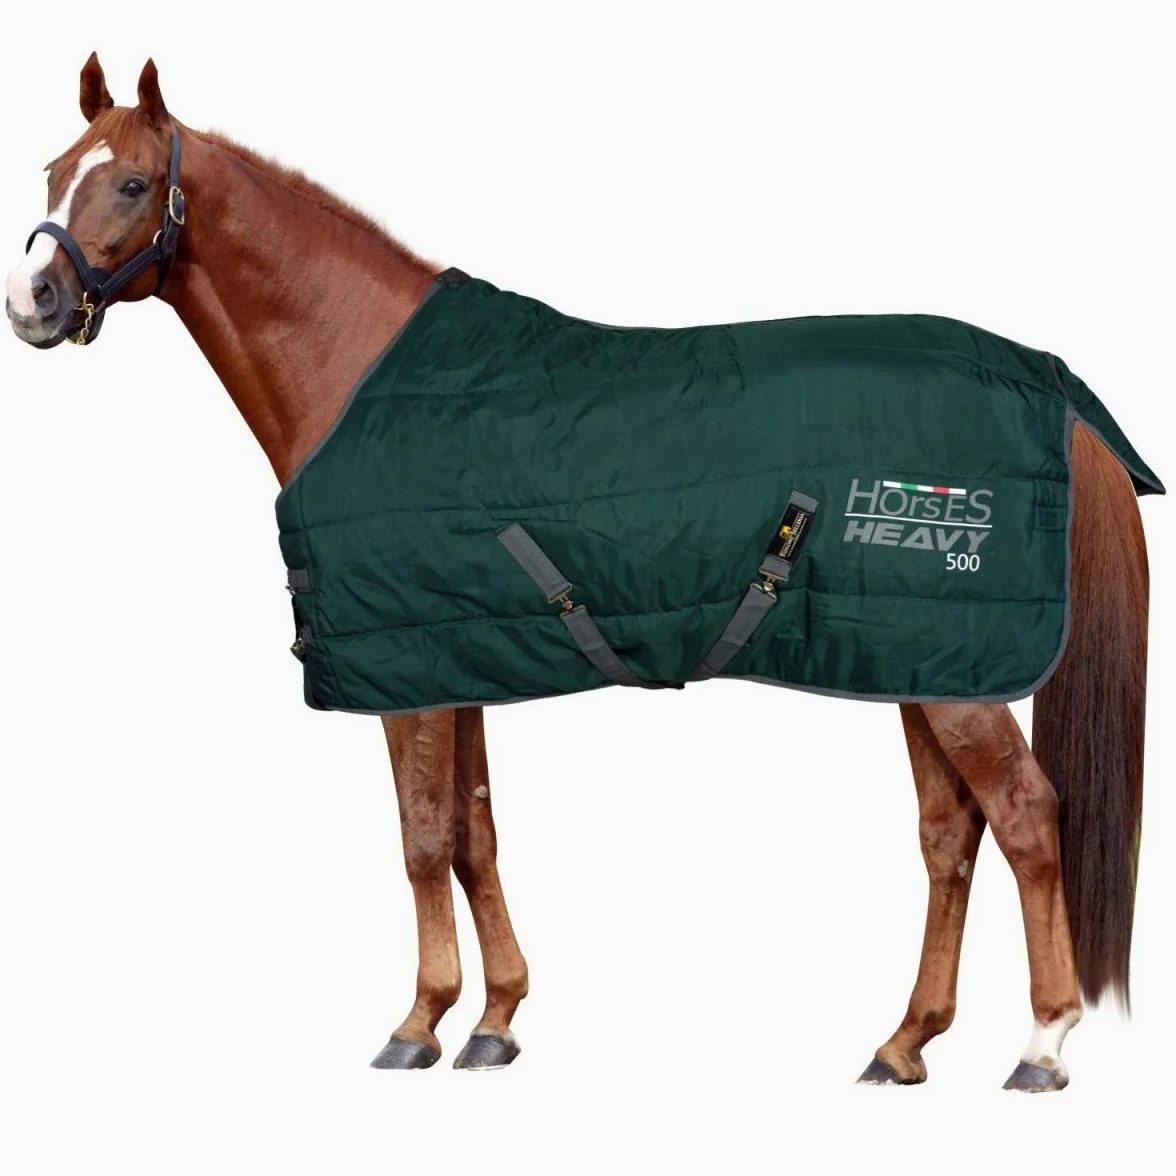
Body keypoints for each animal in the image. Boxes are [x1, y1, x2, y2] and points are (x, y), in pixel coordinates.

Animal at [5, 55, 1154, 1091]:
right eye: (52, 169)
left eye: (130, 184)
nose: (32, 300)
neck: (359, 370)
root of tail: (1049, 383)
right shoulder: (453, 658)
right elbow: (474, 834)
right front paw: (495, 1021)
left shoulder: (406, 676)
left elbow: (423, 838)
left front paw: (417, 1024)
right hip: (920, 663)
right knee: (950, 835)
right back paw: (904, 1042)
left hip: (955, 677)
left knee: (1026, 818)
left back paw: (1042, 1046)